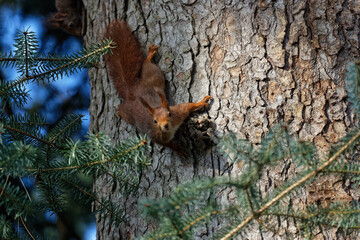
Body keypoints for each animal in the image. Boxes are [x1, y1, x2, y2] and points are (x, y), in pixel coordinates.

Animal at [103, 21, 211, 158]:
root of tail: (132, 91)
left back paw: (149, 55)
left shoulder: (179, 112)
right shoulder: (156, 135)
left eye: (169, 114)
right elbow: (166, 144)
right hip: (131, 111)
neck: (172, 127)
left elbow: (188, 106)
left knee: (148, 66)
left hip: (154, 77)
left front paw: (201, 102)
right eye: (155, 121)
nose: (164, 126)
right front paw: (177, 149)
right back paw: (119, 111)